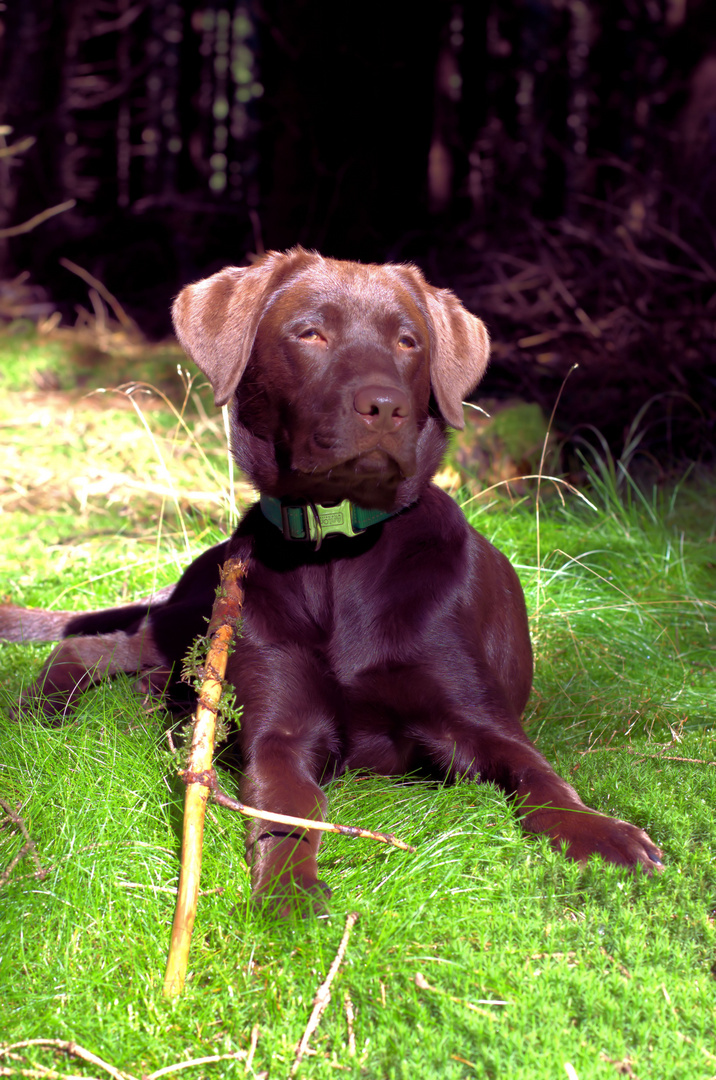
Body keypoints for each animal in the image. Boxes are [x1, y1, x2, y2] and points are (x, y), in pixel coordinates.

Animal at [1, 250, 660, 911]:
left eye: (409, 341)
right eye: (310, 333)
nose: (385, 406)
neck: (339, 555)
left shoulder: (480, 718)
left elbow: (540, 774)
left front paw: (602, 832)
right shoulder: (281, 731)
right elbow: (288, 810)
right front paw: (289, 890)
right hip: (192, 623)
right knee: (87, 648)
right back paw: (36, 709)